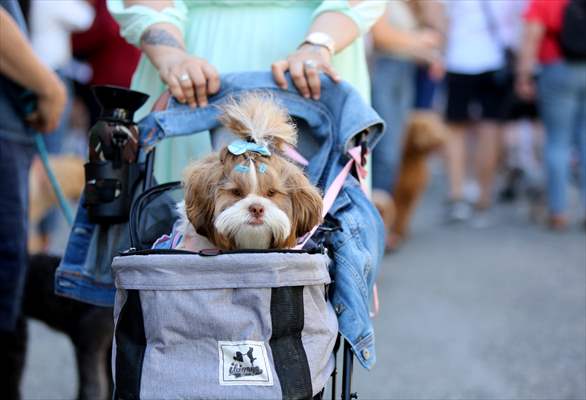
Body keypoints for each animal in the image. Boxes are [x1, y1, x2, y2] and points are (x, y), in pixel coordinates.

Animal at [388, 111, 442, 248]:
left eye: (436, 126)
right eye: (423, 127)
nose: (439, 139)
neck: (413, 162)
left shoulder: (412, 194)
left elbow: (404, 215)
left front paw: (401, 233)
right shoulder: (398, 193)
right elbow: (399, 214)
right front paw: (396, 235)